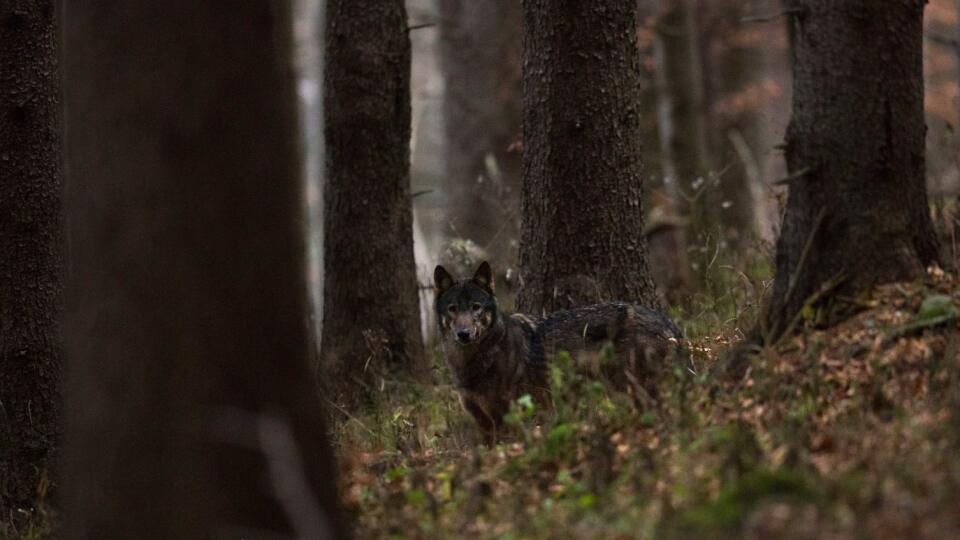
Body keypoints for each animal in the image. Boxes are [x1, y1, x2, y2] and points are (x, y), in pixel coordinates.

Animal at [436, 262, 684, 442]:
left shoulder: (513, 417)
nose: (464, 334)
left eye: (476, 307)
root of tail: (667, 321)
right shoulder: (484, 423)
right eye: (453, 309)